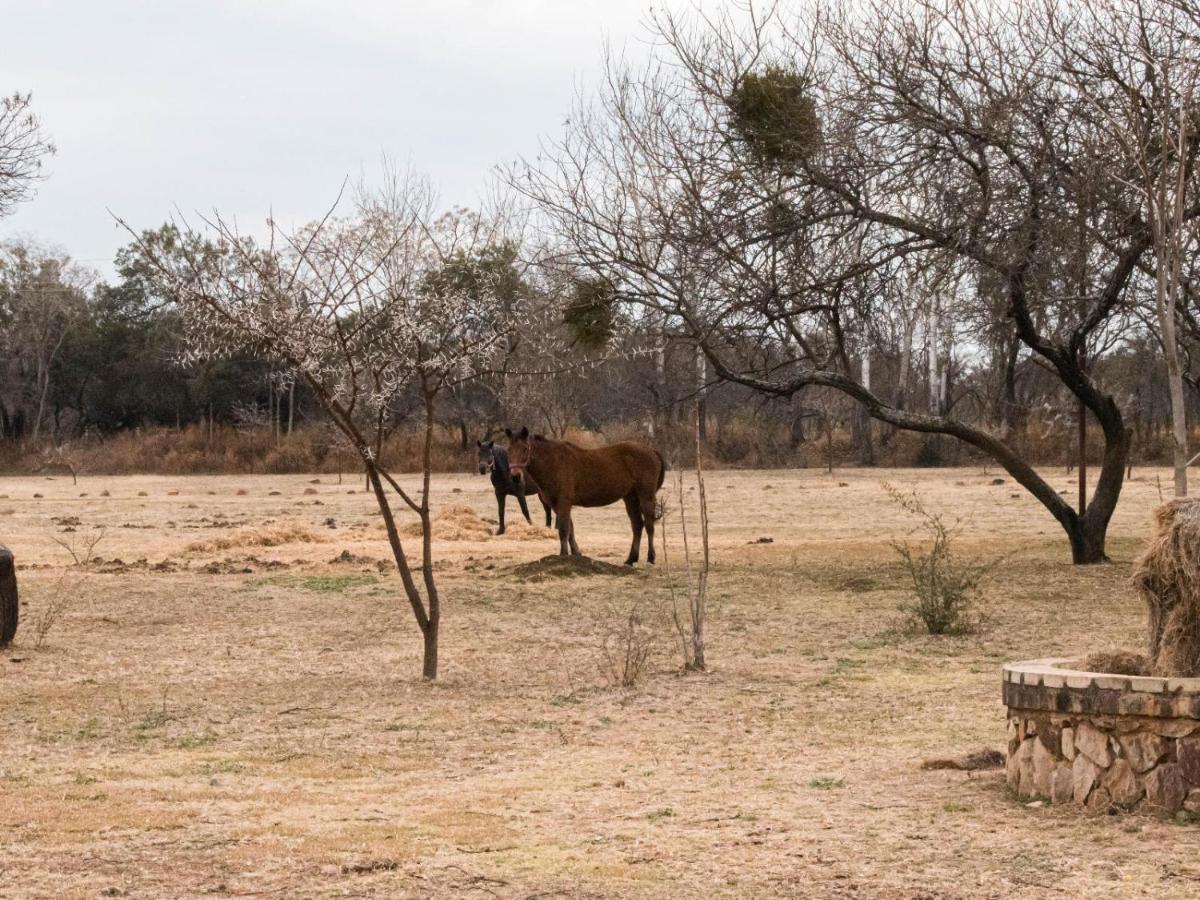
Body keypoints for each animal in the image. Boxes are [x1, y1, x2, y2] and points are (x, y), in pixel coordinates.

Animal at [499, 427, 667, 564]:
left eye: (525, 448)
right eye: (509, 450)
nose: (515, 476)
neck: (553, 462)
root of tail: (651, 450)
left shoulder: (564, 503)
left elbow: (564, 530)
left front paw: (563, 555)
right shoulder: (556, 505)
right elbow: (570, 529)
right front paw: (576, 553)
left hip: (646, 496)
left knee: (649, 525)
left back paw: (650, 558)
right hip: (630, 497)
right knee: (637, 525)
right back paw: (631, 559)